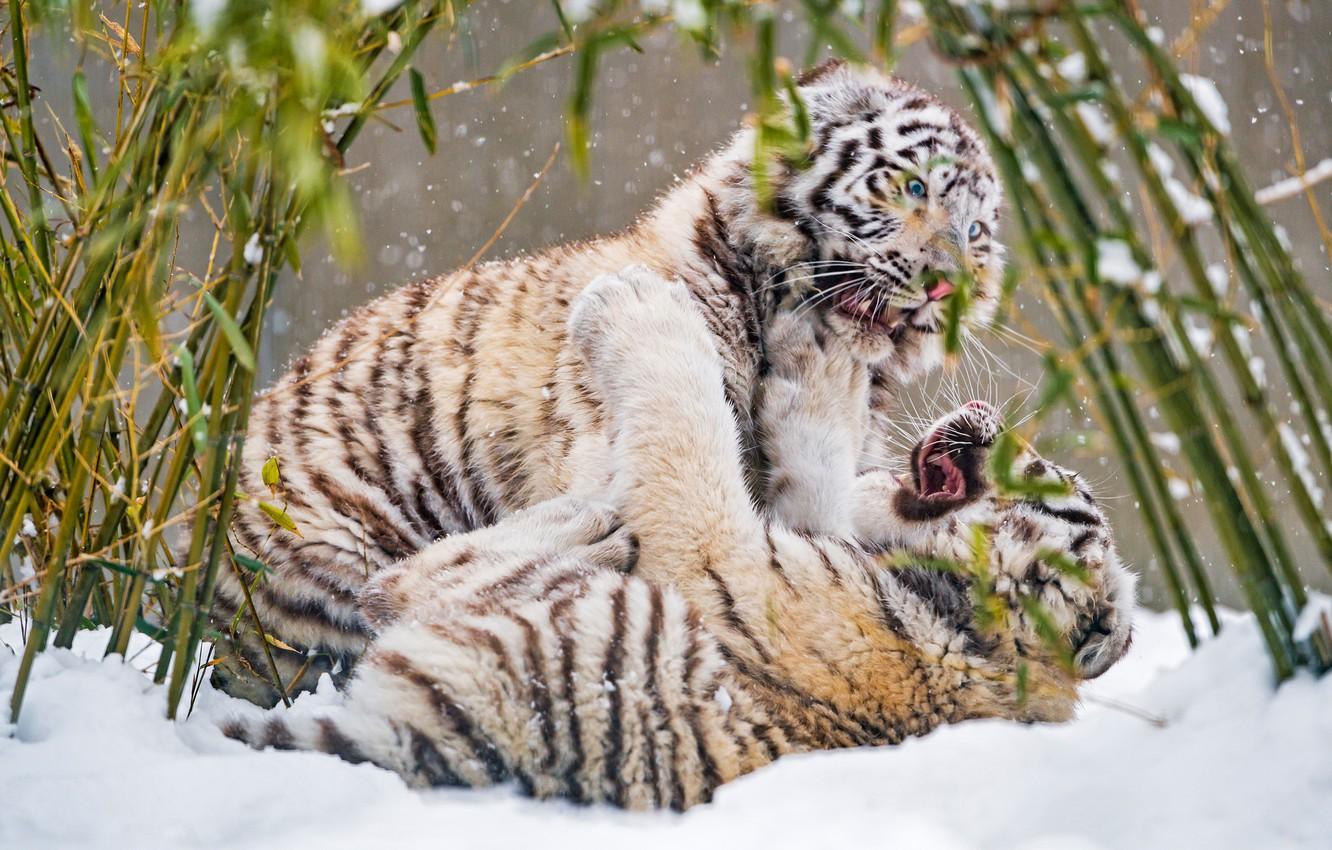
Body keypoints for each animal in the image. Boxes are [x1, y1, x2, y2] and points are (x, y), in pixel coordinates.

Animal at [221, 272, 1135, 811]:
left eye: (1047, 477)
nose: (985, 417)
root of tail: (442, 743)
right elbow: (812, 462)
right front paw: (820, 361)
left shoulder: (720, 557)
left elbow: (687, 420)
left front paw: (634, 303)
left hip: (566, 631)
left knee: (405, 585)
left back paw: (589, 520)